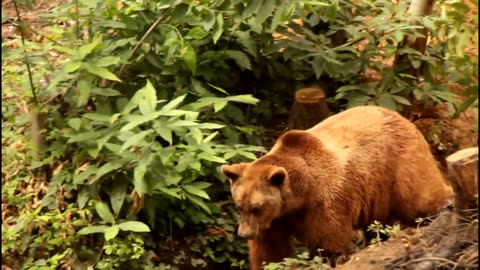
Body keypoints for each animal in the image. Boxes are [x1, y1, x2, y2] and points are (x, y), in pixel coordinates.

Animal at [221, 104, 454, 268]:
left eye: (256, 207)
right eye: (240, 205)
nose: (244, 234)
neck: (298, 196)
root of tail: (400, 116)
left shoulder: (325, 202)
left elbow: (331, 242)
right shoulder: (275, 219)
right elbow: (270, 252)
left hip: (400, 164)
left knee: (421, 198)